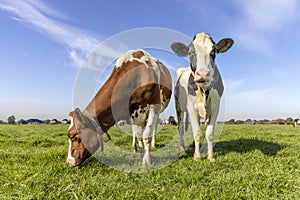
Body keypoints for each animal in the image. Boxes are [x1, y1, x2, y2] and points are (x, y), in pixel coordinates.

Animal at [170, 32, 233, 161]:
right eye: (190, 52)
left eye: (213, 51)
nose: (203, 74)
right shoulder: (192, 108)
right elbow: (198, 133)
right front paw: (197, 156)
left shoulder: (216, 107)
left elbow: (209, 134)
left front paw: (211, 156)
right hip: (178, 107)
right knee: (181, 128)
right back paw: (182, 148)